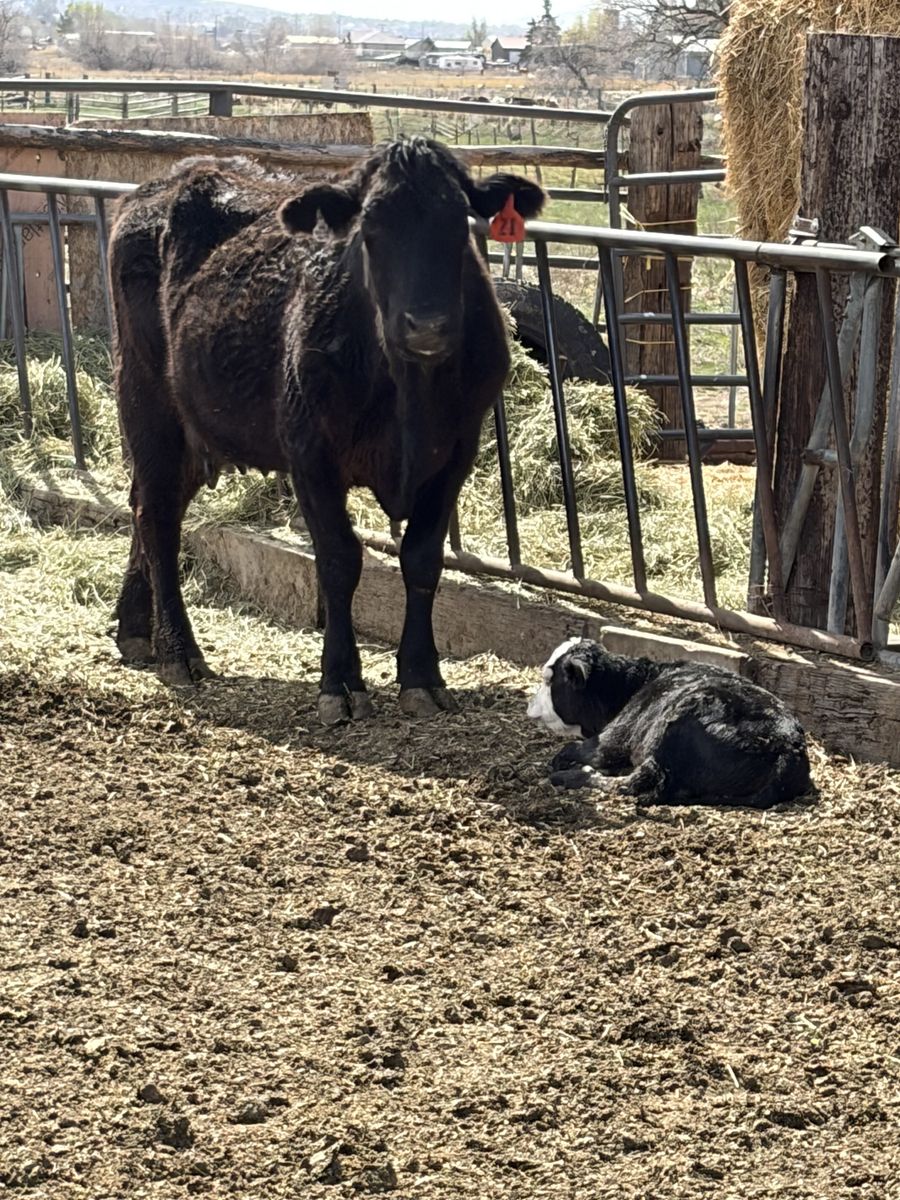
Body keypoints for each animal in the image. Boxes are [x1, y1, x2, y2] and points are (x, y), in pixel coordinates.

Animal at [108, 139, 545, 724]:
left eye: (460, 222)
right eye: (371, 228)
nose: (427, 326)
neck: (409, 391)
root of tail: (172, 178)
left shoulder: (456, 453)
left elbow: (422, 559)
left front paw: (421, 677)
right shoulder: (310, 453)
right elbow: (339, 560)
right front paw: (340, 680)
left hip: (196, 426)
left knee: (150, 504)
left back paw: (135, 630)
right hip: (148, 399)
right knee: (156, 516)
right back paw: (178, 650)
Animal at [527, 638, 812, 809]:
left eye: (549, 680)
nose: (530, 705)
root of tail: (787, 749)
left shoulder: (614, 738)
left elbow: (572, 750)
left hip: (674, 729)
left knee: (633, 783)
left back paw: (568, 776)